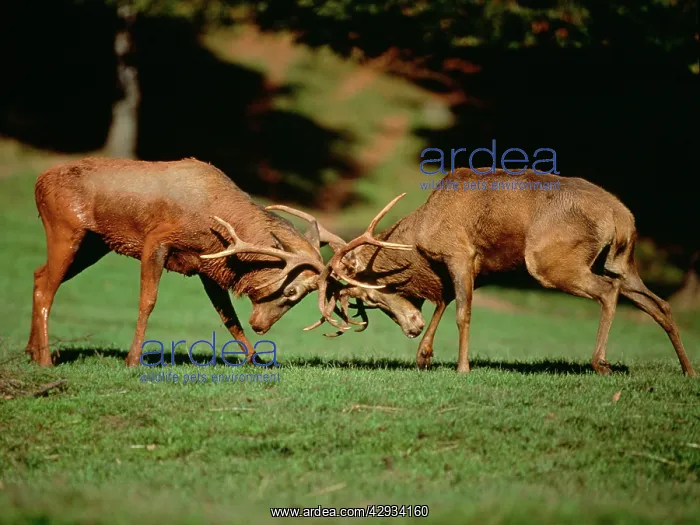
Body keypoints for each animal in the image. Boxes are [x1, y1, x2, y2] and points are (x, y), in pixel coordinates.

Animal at [27, 157, 408, 367]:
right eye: (291, 291)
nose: (262, 326)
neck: (215, 221)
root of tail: (37, 182)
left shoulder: (206, 265)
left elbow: (228, 317)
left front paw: (257, 358)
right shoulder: (156, 239)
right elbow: (147, 301)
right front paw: (133, 360)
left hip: (94, 244)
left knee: (38, 275)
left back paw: (33, 352)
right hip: (66, 228)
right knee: (47, 287)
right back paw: (45, 359)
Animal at [307, 168, 697, 377]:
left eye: (371, 295)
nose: (410, 327)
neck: (419, 240)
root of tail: (622, 217)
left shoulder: (459, 253)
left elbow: (462, 312)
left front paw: (461, 367)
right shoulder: (467, 267)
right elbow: (444, 302)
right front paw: (423, 356)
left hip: (549, 260)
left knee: (607, 292)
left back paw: (600, 362)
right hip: (621, 263)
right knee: (658, 303)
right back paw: (688, 369)